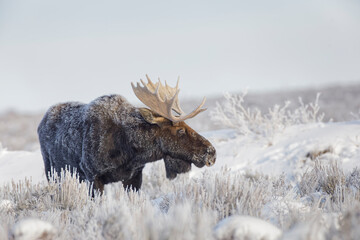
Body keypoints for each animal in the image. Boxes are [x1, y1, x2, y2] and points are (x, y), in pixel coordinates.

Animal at [37, 76, 215, 192]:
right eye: (180, 130)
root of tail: (40, 124)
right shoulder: (92, 176)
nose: (212, 152)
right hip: (53, 174)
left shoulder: (134, 176)